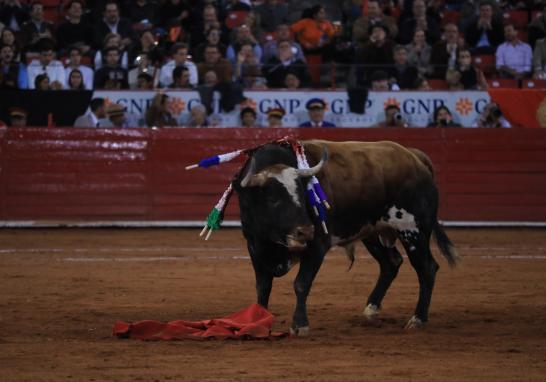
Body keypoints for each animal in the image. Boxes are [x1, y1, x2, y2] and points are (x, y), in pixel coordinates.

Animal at [232, 139, 456, 336]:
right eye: (272, 199)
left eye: (304, 196)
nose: (306, 231)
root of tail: (415, 158)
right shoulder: (255, 246)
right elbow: (263, 287)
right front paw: (258, 322)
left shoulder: (317, 246)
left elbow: (301, 284)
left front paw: (300, 325)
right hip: (372, 233)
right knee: (391, 263)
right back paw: (371, 309)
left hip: (413, 230)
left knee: (426, 268)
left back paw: (417, 319)